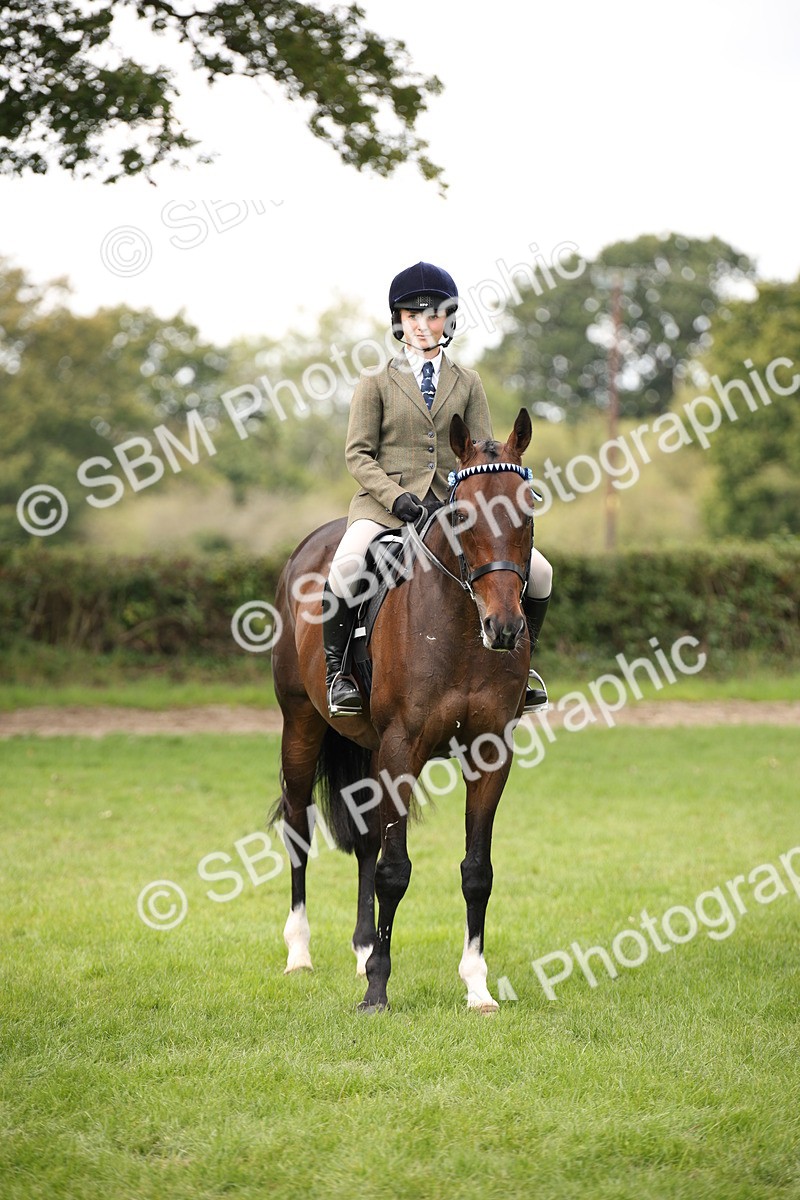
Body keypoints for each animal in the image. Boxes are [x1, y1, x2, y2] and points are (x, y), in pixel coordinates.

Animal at [269, 407, 537, 1012]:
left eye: (529, 508)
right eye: (460, 514)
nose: (506, 629)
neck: (461, 626)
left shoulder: (489, 753)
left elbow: (476, 871)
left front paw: (477, 986)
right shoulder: (402, 747)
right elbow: (395, 870)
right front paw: (377, 991)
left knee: (367, 839)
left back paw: (364, 949)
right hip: (300, 725)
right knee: (298, 828)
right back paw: (299, 953)